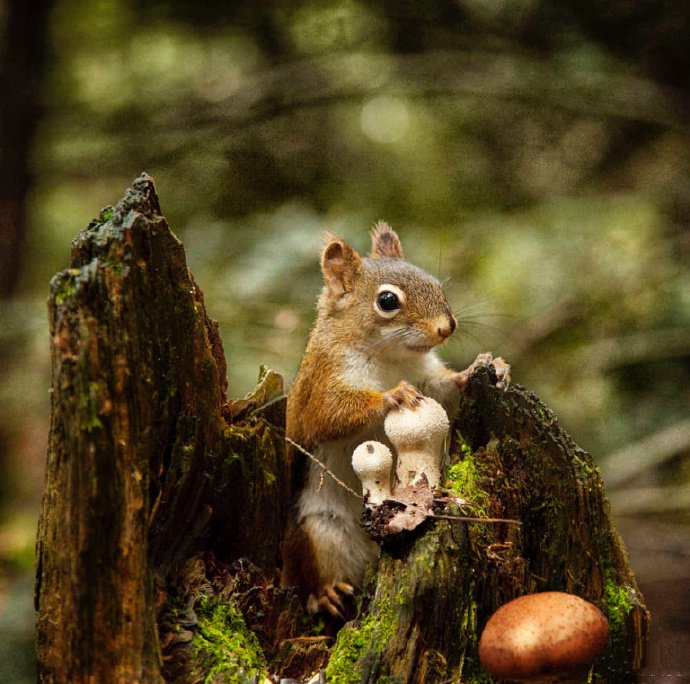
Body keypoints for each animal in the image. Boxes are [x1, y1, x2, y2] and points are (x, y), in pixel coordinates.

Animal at [276, 222, 508, 616]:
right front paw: (392, 396)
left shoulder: (426, 378)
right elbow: (328, 415)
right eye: (387, 301)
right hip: (320, 535)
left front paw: (484, 367)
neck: (390, 358)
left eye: (435, 284)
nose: (447, 327)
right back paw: (326, 593)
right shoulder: (320, 385)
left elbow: (445, 391)